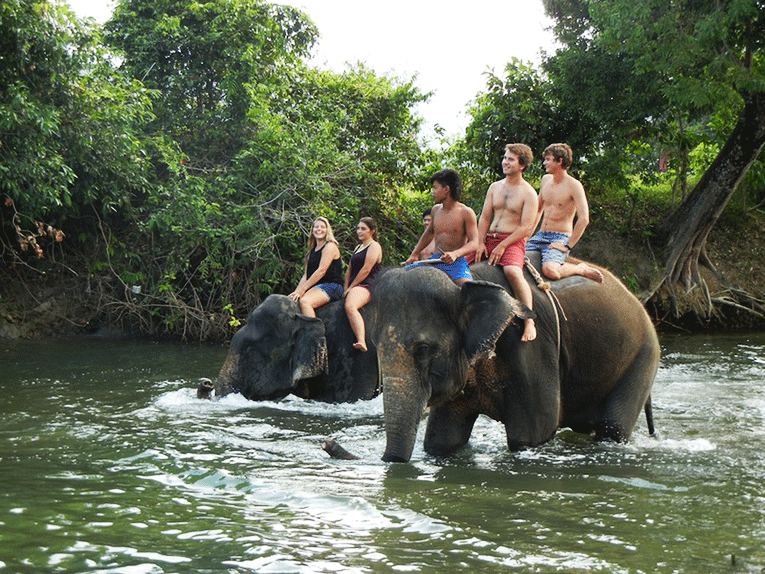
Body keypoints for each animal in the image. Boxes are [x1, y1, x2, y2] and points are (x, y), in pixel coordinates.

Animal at [370, 258, 659, 462]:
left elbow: (532, 435)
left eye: (423, 348)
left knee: (613, 428)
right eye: (375, 346)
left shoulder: (530, 345)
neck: (466, 284)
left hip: (643, 359)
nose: (390, 462)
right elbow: (443, 437)